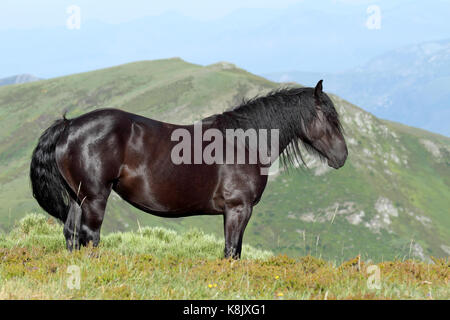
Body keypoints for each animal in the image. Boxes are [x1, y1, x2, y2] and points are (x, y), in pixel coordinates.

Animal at [29, 81, 348, 258]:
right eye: (329, 117)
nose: (342, 156)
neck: (243, 141)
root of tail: (69, 125)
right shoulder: (238, 209)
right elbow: (232, 252)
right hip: (95, 199)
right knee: (89, 237)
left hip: (77, 198)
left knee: (71, 234)